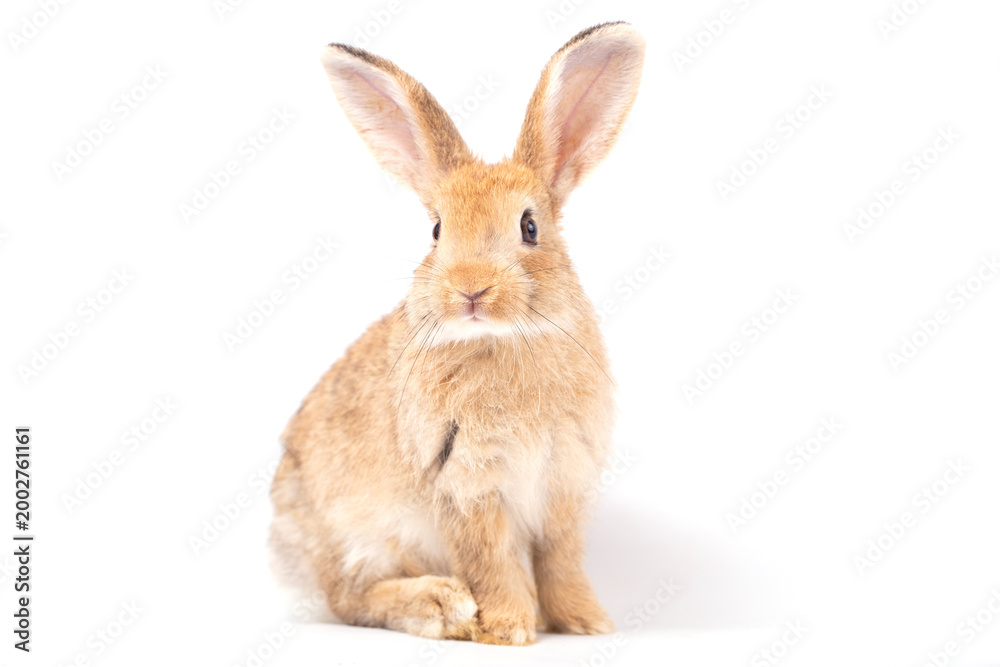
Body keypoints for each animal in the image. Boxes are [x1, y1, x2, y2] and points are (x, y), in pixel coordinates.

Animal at [269, 21, 644, 646]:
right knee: (350, 598)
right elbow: (492, 563)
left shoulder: (562, 488)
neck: (501, 338)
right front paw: (510, 628)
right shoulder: (464, 483)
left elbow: (561, 561)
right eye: (437, 230)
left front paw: (585, 623)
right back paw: (441, 606)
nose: (470, 289)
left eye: (530, 226)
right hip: (357, 534)